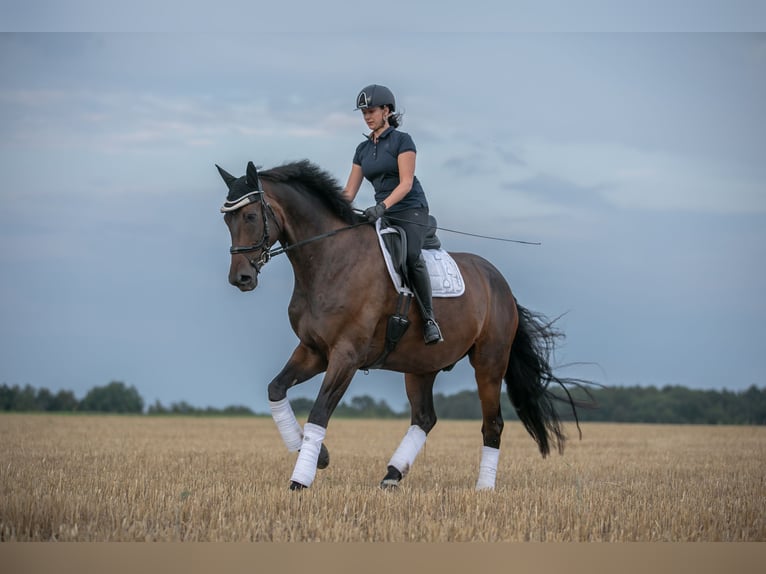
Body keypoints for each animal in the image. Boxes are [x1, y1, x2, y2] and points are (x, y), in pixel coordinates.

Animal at [219, 160, 592, 492]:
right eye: (227, 219)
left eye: (250, 216)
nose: (241, 278)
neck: (329, 259)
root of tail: (501, 284)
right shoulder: (313, 351)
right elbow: (276, 390)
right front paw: (317, 455)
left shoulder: (345, 356)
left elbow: (320, 412)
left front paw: (300, 479)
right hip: (421, 366)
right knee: (425, 418)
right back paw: (392, 476)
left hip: (489, 362)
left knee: (493, 423)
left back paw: (483, 489)